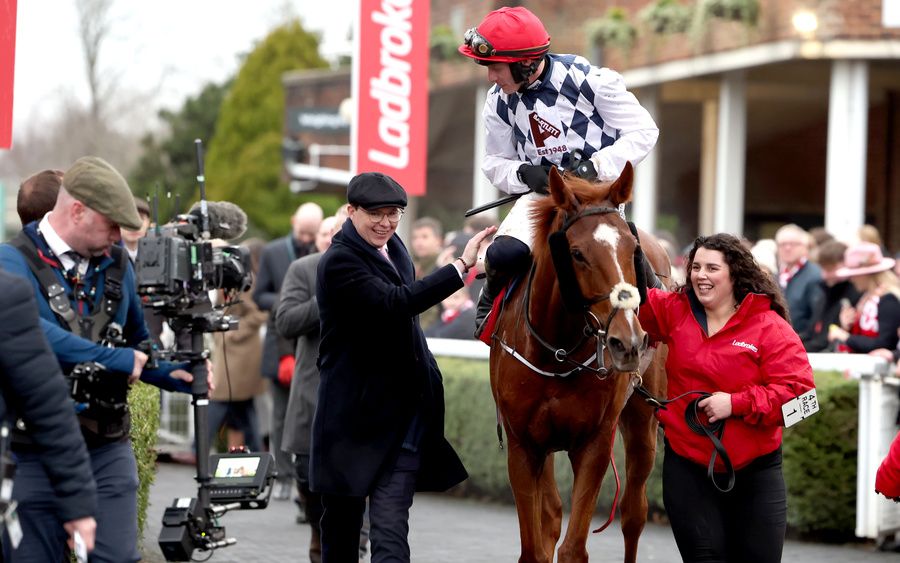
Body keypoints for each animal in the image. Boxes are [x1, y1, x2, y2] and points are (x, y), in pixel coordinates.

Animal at [488, 163, 672, 563]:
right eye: (576, 253)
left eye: (632, 250)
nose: (627, 342)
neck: (557, 352)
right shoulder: (523, 445)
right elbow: (535, 546)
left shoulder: (594, 442)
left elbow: (573, 549)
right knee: (553, 512)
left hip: (642, 420)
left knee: (634, 513)